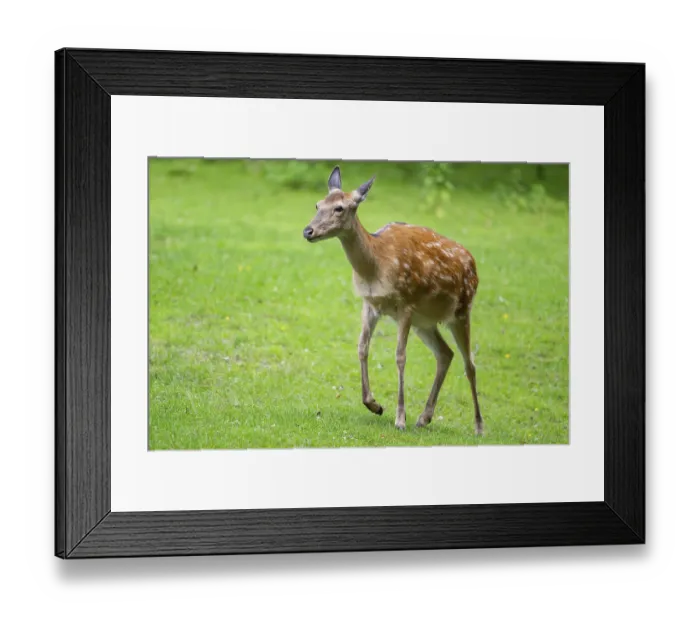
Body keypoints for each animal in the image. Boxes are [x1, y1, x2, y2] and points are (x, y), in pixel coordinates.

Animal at [303, 166, 483, 435]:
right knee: (445, 354)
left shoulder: (405, 304)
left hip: (462, 310)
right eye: (317, 204)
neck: (376, 265)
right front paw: (374, 405)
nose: (308, 231)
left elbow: (400, 356)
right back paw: (424, 417)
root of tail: (474, 266)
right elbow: (362, 348)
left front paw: (400, 419)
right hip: (425, 322)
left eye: (340, 208)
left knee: (469, 363)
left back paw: (479, 426)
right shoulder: (369, 304)